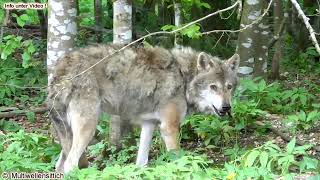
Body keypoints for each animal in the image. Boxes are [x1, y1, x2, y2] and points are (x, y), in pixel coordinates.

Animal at [46, 44, 239, 173]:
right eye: (213, 87)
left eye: (229, 87)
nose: (226, 107)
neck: (184, 78)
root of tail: (61, 68)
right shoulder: (169, 127)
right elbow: (179, 160)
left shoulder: (149, 124)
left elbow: (141, 163)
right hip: (88, 128)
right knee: (70, 165)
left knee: (59, 165)